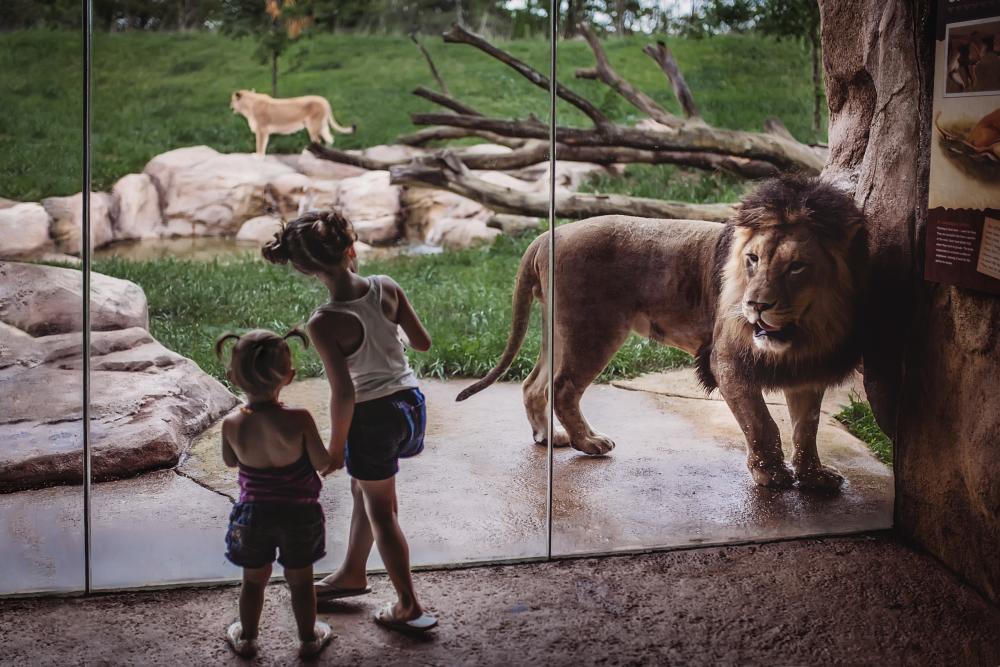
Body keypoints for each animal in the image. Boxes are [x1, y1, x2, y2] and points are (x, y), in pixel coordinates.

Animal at [458, 175, 864, 494]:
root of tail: (547, 235)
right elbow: (762, 423)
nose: (755, 305)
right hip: (593, 330)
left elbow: (806, 427)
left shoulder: (810, 371)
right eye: (753, 259)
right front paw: (772, 475)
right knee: (562, 388)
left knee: (534, 384)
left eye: (797, 267)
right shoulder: (725, 362)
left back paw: (549, 437)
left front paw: (814, 478)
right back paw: (587, 441)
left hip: (557, 330)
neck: (804, 332)